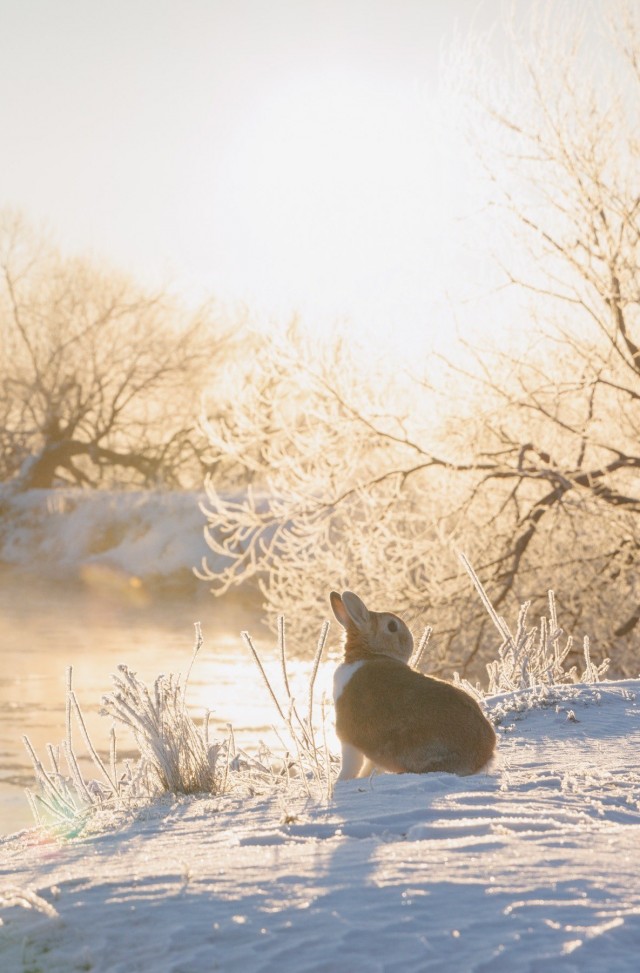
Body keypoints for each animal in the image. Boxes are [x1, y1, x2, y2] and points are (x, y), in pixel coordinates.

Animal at [331, 590, 496, 781]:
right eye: (392, 626)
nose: (411, 639)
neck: (367, 654)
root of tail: (484, 754)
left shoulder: (348, 737)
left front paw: (341, 782)